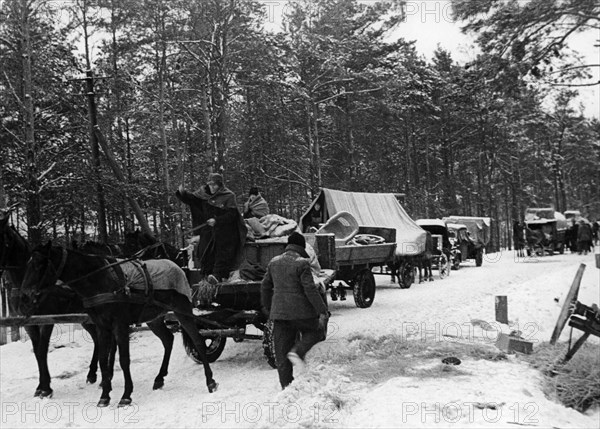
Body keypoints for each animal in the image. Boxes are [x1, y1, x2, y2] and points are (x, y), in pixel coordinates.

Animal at [0, 206, 105, 396]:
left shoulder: (47, 320)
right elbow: (37, 351)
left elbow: (42, 350)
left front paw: (46, 388)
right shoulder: (28, 322)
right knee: (96, 338)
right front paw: (40, 386)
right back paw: (92, 374)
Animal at [21, 242, 218, 406]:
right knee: (168, 339)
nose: (24, 295)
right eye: (28, 264)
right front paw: (105, 396)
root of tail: (178, 267)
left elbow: (124, 360)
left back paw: (210, 381)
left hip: (182, 311)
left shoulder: (120, 325)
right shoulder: (102, 326)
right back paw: (159, 378)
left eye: (38, 264)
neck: (100, 280)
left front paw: (126, 395)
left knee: (198, 341)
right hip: (153, 319)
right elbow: (103, 359)